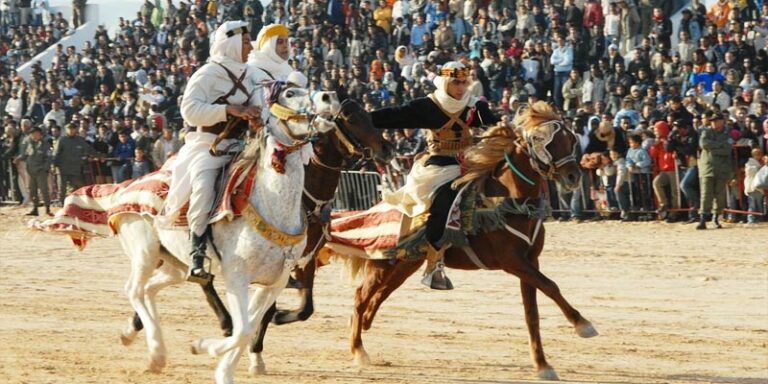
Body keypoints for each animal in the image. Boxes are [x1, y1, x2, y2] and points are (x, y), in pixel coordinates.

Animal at [116, 85, 340, 384]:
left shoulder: (275, 282)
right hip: (145, 252)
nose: (330, 96)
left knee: (150, 289)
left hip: (176, 264)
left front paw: (222, 367)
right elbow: (242, 330)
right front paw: (202, 347)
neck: (271, 205)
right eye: (290, 93)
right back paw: (150, 348)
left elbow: (250, 328)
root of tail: (127, 188)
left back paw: (152, 351)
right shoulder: (237, 277)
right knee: (135, 290)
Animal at [340, 102, 596, 380]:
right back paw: (357, 349)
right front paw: (583, 324)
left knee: (378, 296)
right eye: (541, 140)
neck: (509, 201)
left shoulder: (530, 261)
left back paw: (363, 325)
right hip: (384, 263)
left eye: (571, 139)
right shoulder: (512, 261)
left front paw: (542, 364)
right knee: (360, 296)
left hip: (406, 264)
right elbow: (551, 286)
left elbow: (533, 312)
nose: (573, 176)